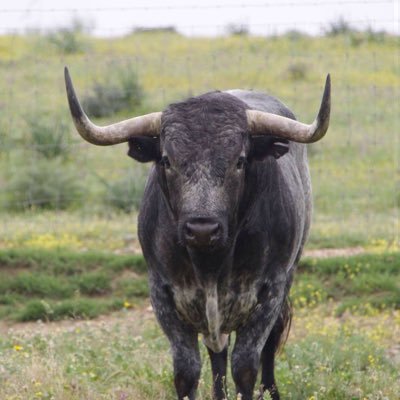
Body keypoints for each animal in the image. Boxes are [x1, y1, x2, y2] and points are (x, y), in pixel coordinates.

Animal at [63, 66, 332, 400]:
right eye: (167, 160)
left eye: (240, 161)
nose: (202, 229)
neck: (210, 263)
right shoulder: (162, 292)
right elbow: (187, 369)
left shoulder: (271, 289)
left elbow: (246, 365)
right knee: (217, 350)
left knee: (268, 344)